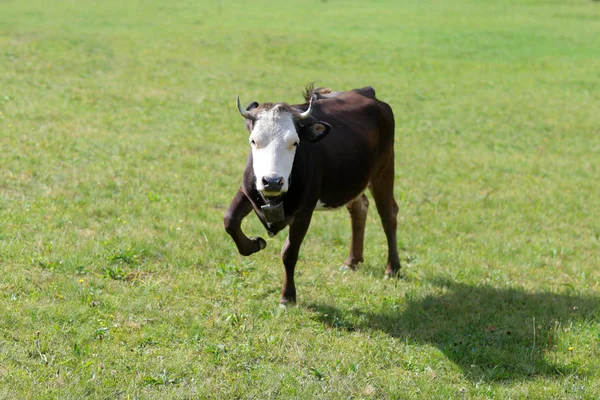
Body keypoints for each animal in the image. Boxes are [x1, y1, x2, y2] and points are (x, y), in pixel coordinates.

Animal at [223, 84, 400, 304]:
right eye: (254, 141)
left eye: (295, 142)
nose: (272, 181)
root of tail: (366, 92)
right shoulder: (249, 190)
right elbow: (230, 220)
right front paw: (254, 244)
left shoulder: (304, 212)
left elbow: (289, 253)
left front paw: (287, 296)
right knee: (359, 208)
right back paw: (352, 261)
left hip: (383, 170)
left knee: (388, 215)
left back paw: (392, 268)